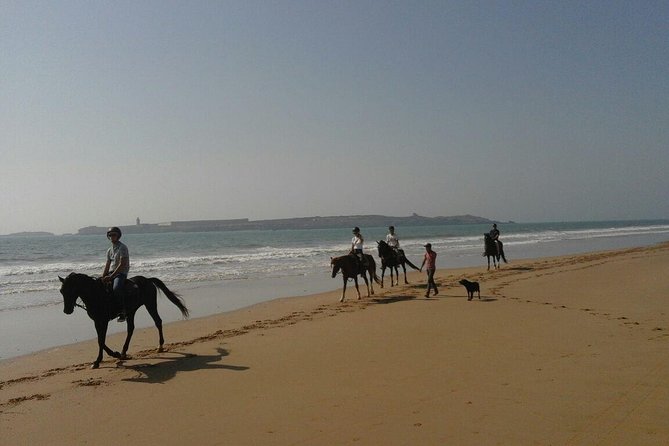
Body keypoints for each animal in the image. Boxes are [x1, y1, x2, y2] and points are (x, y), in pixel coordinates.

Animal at [58, 272, 188, 370]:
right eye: (61, 291)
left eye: (71, 290)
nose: (67, 310)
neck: (96, 294)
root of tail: (148, 280)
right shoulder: (97, 321)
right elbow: (100, 340)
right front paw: (113, 355)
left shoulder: (104, 321)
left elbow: (101, 340)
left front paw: (100, 360)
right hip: (131, 311)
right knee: (131, 329)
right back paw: (124, 352)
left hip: (150, 305)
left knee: (158, 322)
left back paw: (160, 346)